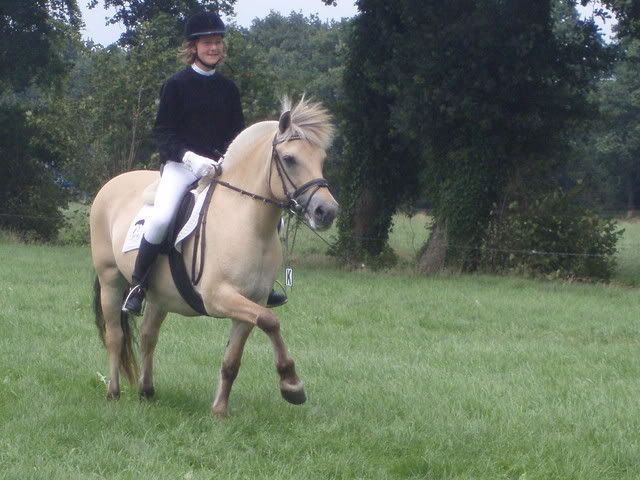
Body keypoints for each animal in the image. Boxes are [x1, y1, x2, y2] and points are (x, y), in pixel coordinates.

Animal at [90, 98, 338, 417]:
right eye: (290, 159)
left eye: (321, 159)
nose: (327, 212)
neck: (247, 222)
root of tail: (111, 185)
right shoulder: (218, 297)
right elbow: (271, 321)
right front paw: (291, 384)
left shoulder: (252, 302)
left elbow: (234, 357)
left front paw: (219, 410)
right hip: (111, 281)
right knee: (115, 337)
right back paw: (113, 392)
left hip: (159, 296)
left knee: (147, 337)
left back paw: (147, 392)